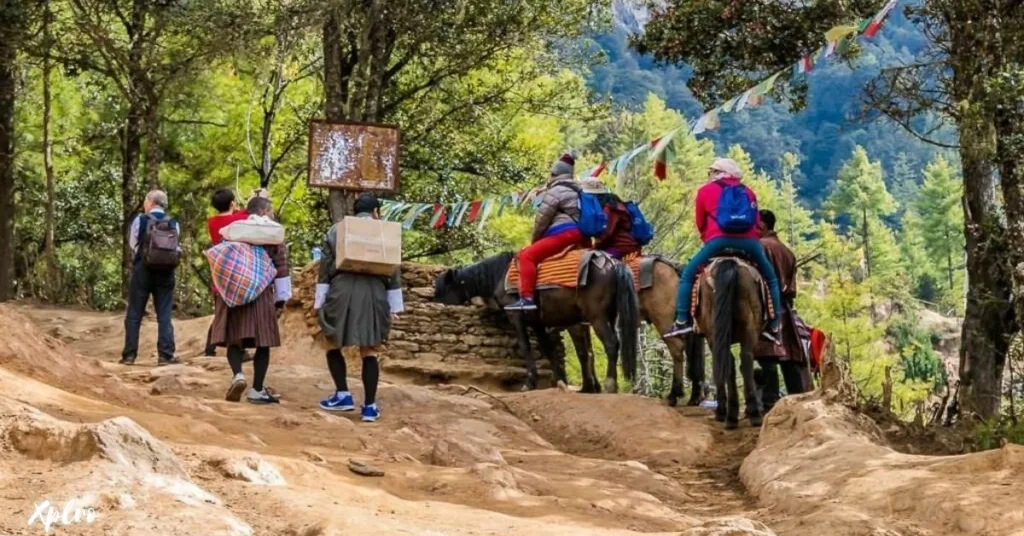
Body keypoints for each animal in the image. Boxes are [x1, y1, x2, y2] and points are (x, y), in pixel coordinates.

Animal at [434, 252, 638, 393]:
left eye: (442, 289)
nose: (434, 301)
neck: (500, 276)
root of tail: (613, 263)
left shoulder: (516, 317)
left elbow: (526, 347)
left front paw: (529, 382)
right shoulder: (538, 323)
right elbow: (548, 349)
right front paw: (559, 381)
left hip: (597, 317)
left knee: (610, 344)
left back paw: (609, 385)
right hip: (609, 316)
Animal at [692, 258, 765, 430]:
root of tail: (728, 262)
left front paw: (721, 411)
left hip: (716, 333)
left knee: (729, 362)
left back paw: (730, 415)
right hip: (749, 327)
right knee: (745, 360)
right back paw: (751, 414)